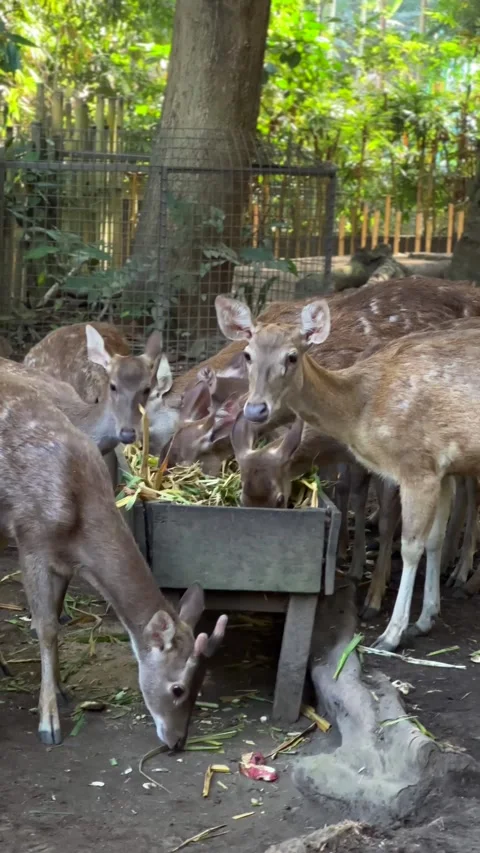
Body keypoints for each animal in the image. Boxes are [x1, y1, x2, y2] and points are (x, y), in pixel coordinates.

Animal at [0, 367, 227, 747]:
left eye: (199, 685)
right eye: (178, 688)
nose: (177, 741)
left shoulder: (63, 560)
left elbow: (56, 616)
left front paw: (60, 689)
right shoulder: (30, 537)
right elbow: (45, 627)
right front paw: (49, 722)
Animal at [215, 292, 480, 652]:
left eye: (292, 356)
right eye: (247, 354)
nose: (256, 409)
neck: (361, 405)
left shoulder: (417, 466)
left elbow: (411, 546)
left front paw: (391, 633)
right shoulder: (442, 468)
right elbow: (433, 540)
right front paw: (425, 620)